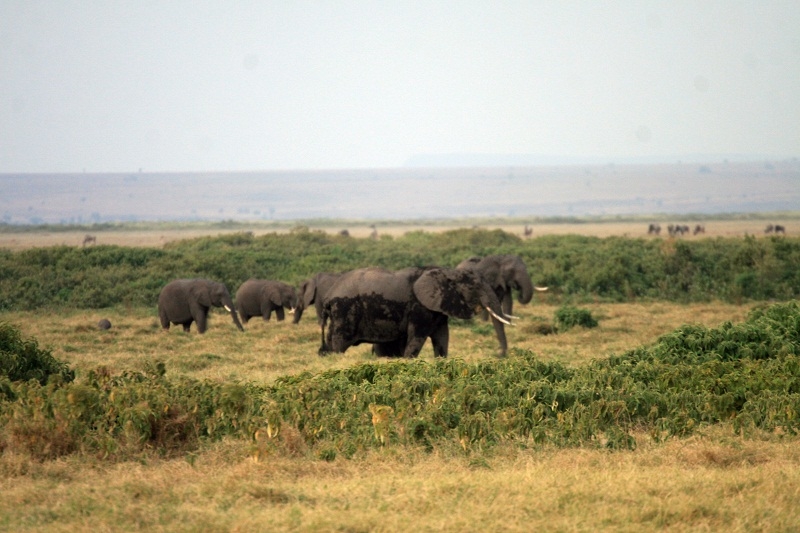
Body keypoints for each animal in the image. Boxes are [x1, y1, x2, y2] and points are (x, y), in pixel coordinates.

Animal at [320, 266, 512, 358]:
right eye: (473, 287)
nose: (499, 355)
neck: (447, 271)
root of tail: (329, 295)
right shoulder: (419, 307)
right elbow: (418, 336)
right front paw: (407, 361)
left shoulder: (438, 307)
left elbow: (442, 336)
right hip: (344, 309)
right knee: (340, 340)